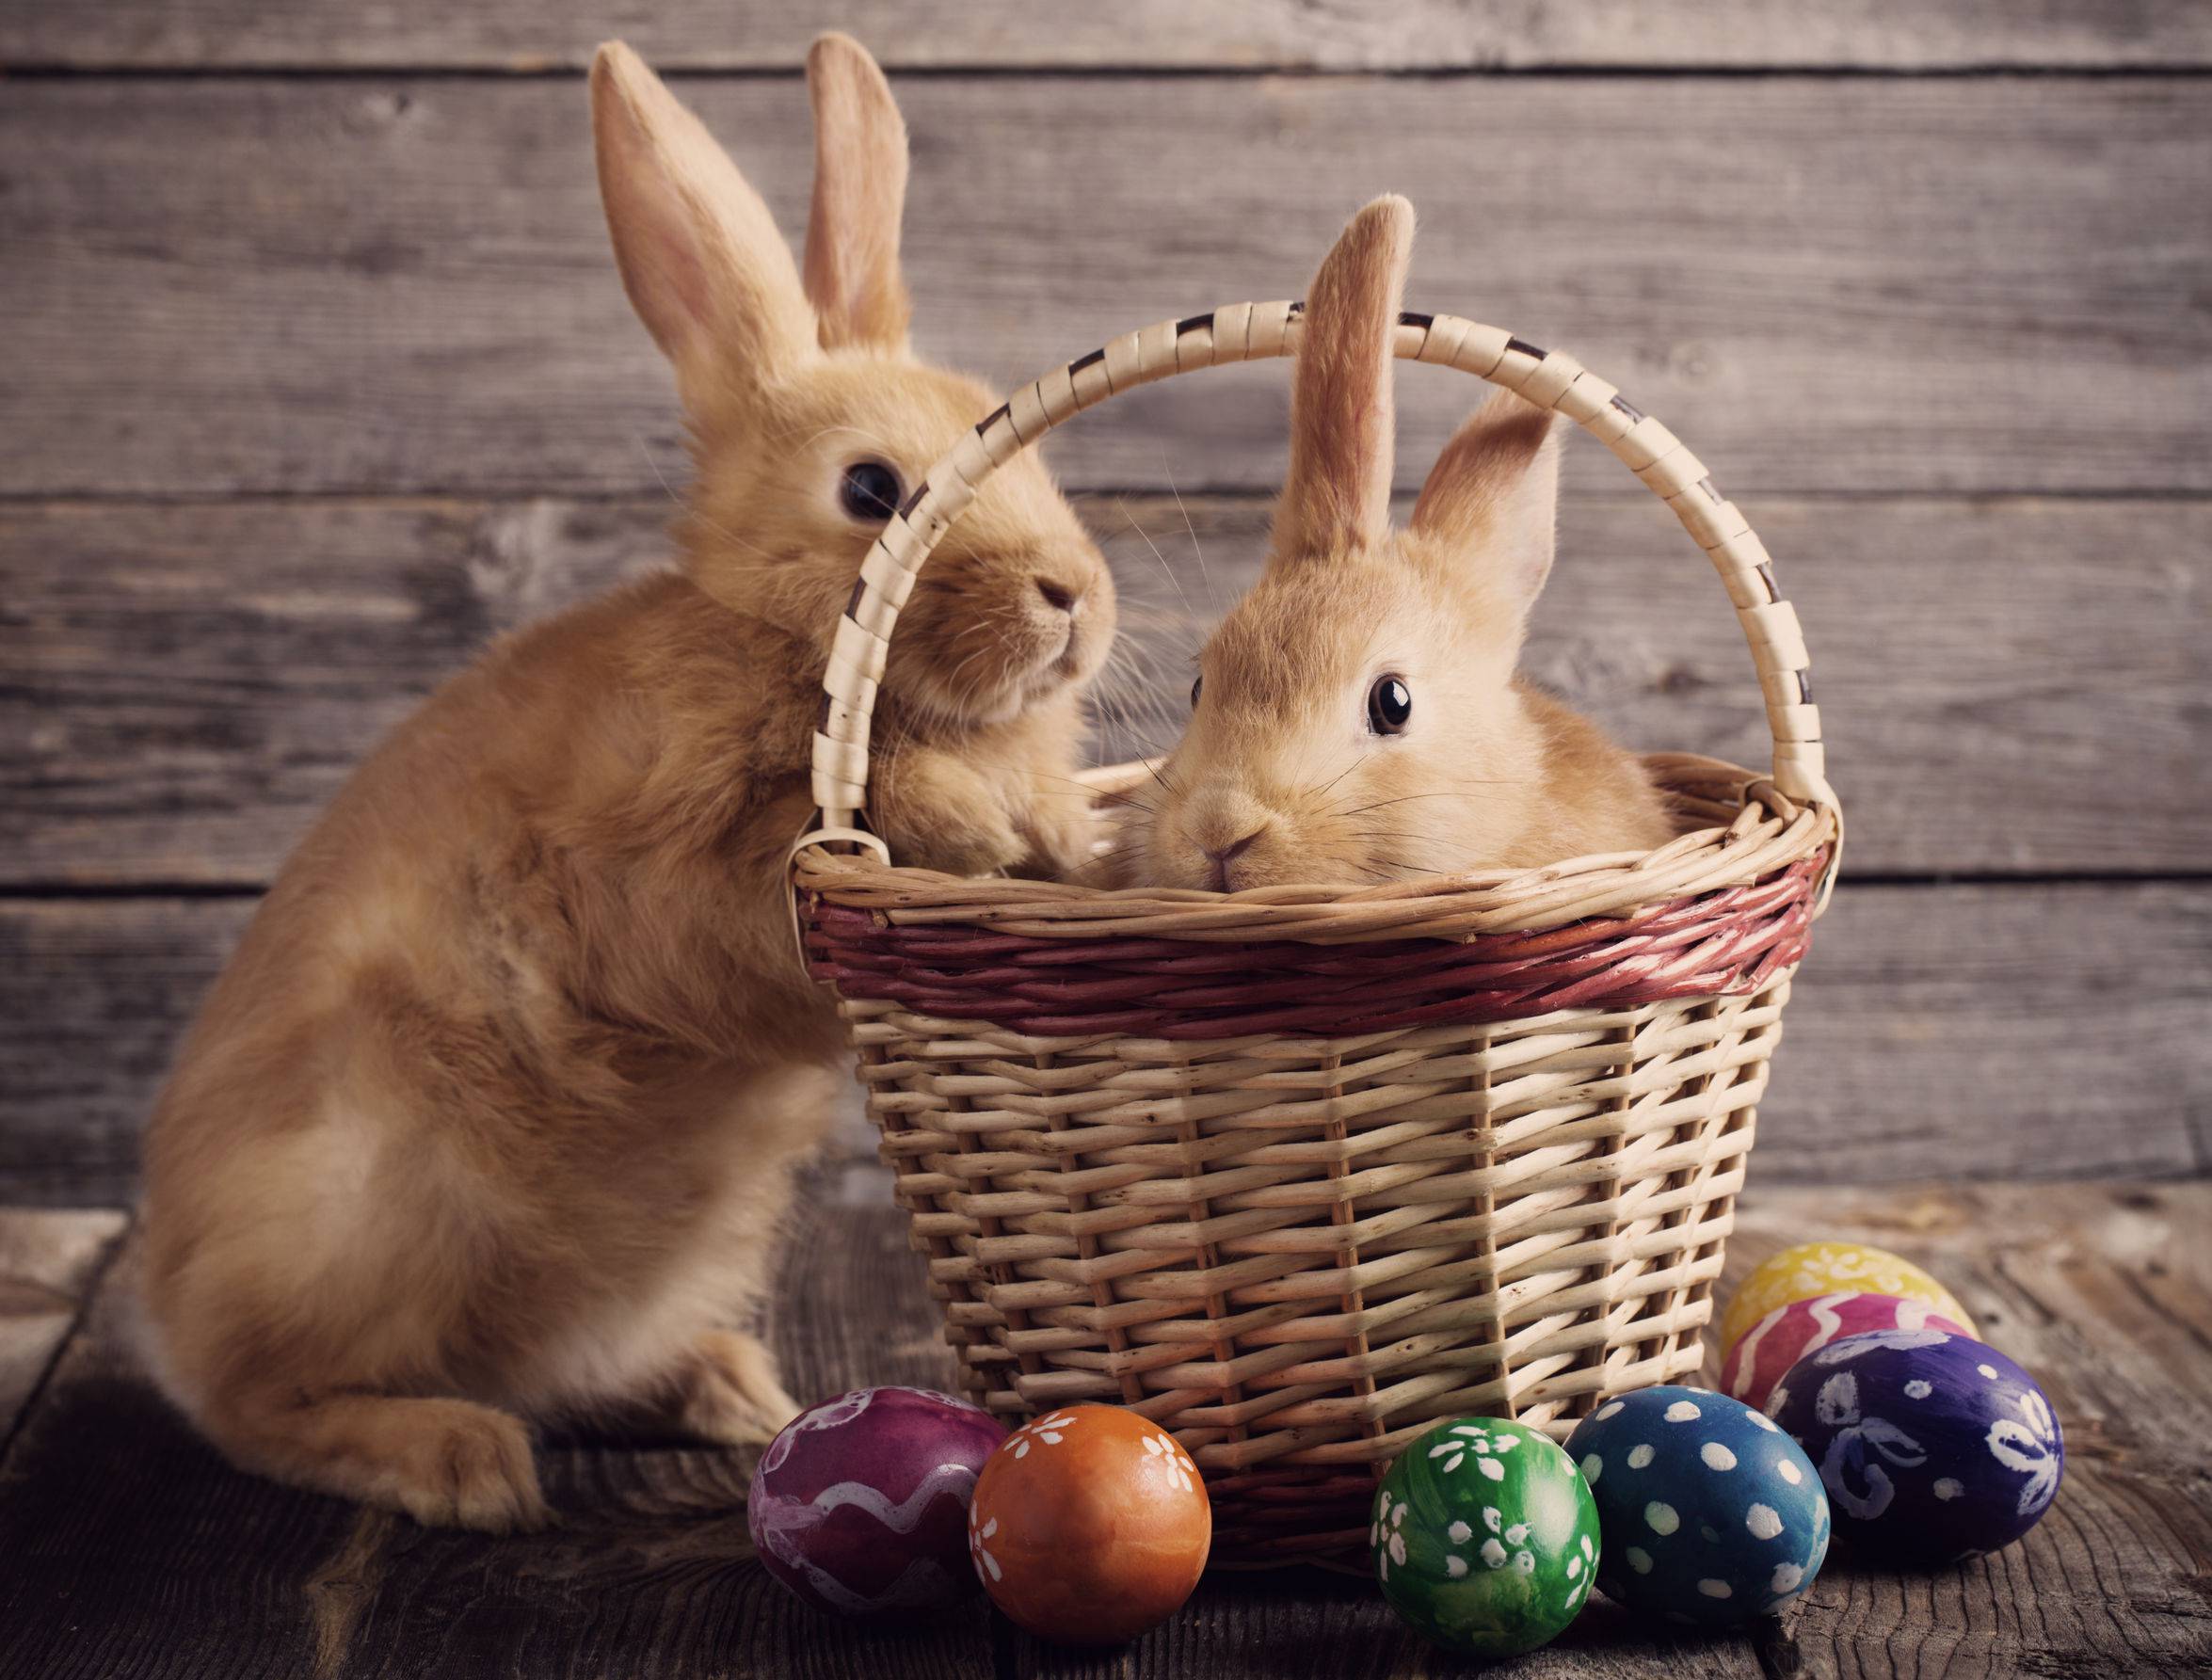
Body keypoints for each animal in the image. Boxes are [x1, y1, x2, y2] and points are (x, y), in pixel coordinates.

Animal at [134, 36, 1123, 1538]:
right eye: (871, 489)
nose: (1071, 597)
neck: (770, 632)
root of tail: (157, 1303)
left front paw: (1059, 827)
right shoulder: (665, 877)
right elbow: (797, 849)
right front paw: (973, 815)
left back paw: (725, 1391)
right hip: (367, 1202)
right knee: (259, 1403)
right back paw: (459, 1463)